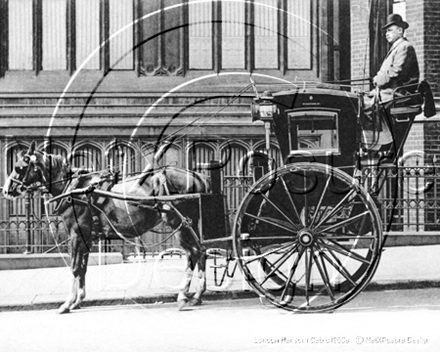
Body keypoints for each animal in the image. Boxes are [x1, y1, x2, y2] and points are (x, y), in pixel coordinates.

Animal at [1, 142, 211, 312]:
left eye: (19, 167)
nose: (6, 189)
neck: (74, 188)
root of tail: (196, 176)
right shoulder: (85, 237)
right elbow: (83, 268)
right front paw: (78, 300)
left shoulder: (76, 234)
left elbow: (75, 267)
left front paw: (67, 303)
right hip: (189, 224)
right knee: (200, 251)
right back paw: (196, 295)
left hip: (179, 223)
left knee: (194, 252)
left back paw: (185, 295)